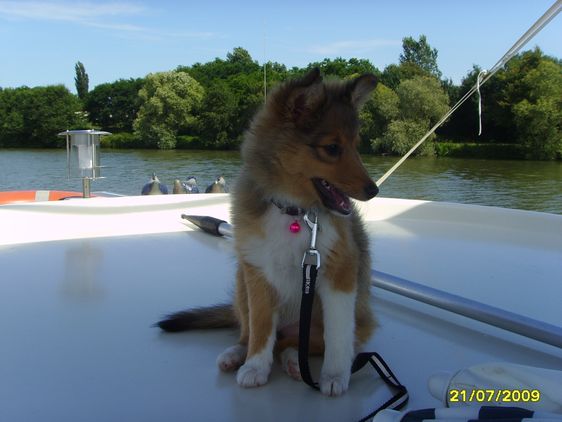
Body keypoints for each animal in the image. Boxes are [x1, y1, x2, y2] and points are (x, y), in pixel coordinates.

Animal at [158, 68, 376, 396]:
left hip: (350, 320)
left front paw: (335, 375)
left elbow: (337, 335)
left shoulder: (340, 272)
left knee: (301, 343)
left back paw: (295, 362)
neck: (295, 213)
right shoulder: (257, 273)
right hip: (241, 283)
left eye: (355, 144)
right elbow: (261, 329)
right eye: (332, 148)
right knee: (254, 332)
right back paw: (238, 354)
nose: (374, 190)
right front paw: (255, 367)